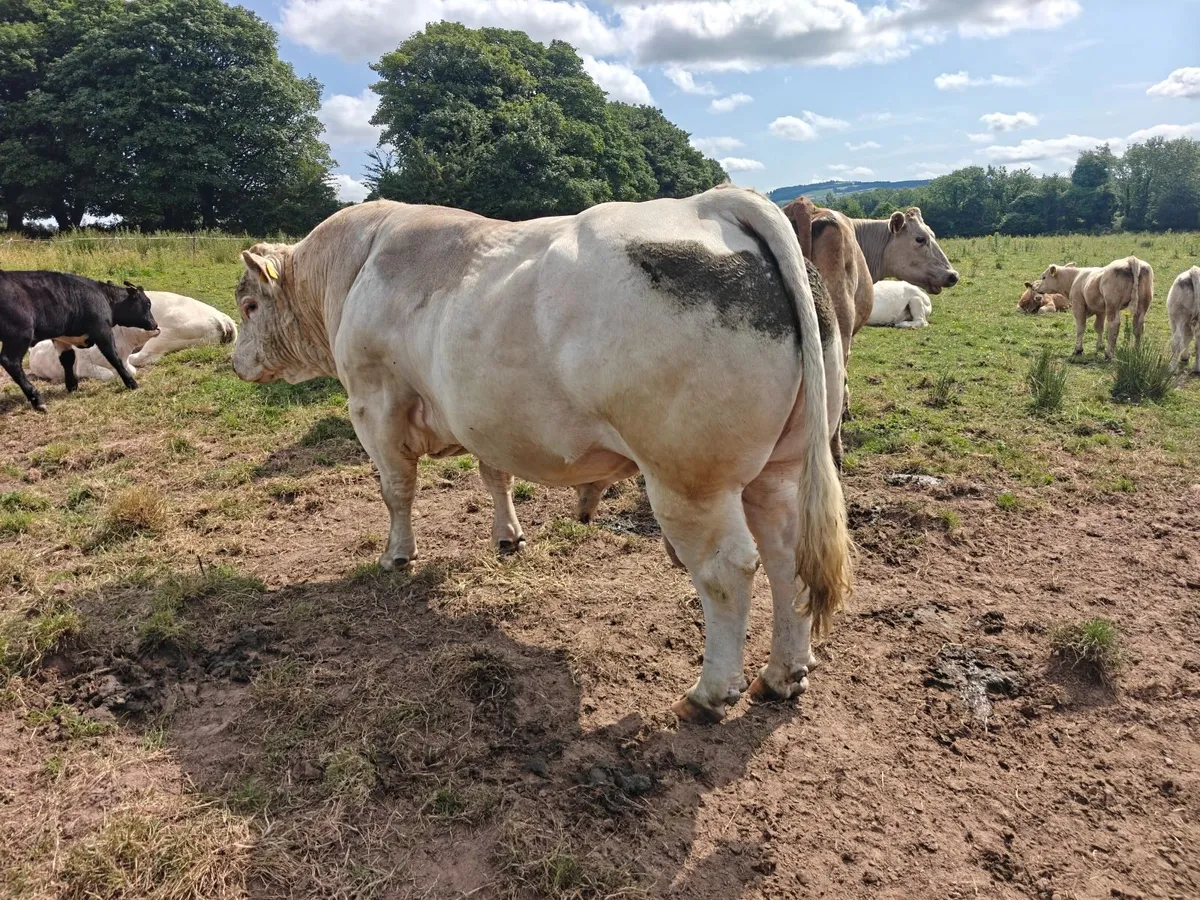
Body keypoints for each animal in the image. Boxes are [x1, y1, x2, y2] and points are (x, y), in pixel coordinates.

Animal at [0, 271, 157, 411]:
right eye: (147, 304)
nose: (155, 324)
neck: (104, 297)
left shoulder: (61, 338)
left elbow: (67, 359)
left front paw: (72, 386)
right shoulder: (102, 331)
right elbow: (114, 357)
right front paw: (131, 383)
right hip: (19, 336)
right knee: (11, 362)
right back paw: (37, 400)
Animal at [231, 187, 852, 723]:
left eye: (250, 304)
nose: (235, 362)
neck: (356, 267)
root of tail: (716, 203)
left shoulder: (375, 403)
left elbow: (396, 489)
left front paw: (397, 556)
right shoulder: (487, 418)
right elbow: (495, 476)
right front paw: (508, 536)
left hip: (690, 478)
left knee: (728, 569)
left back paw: (707, 694)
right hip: (780, 468)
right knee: (786, 554)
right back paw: (784, 673)